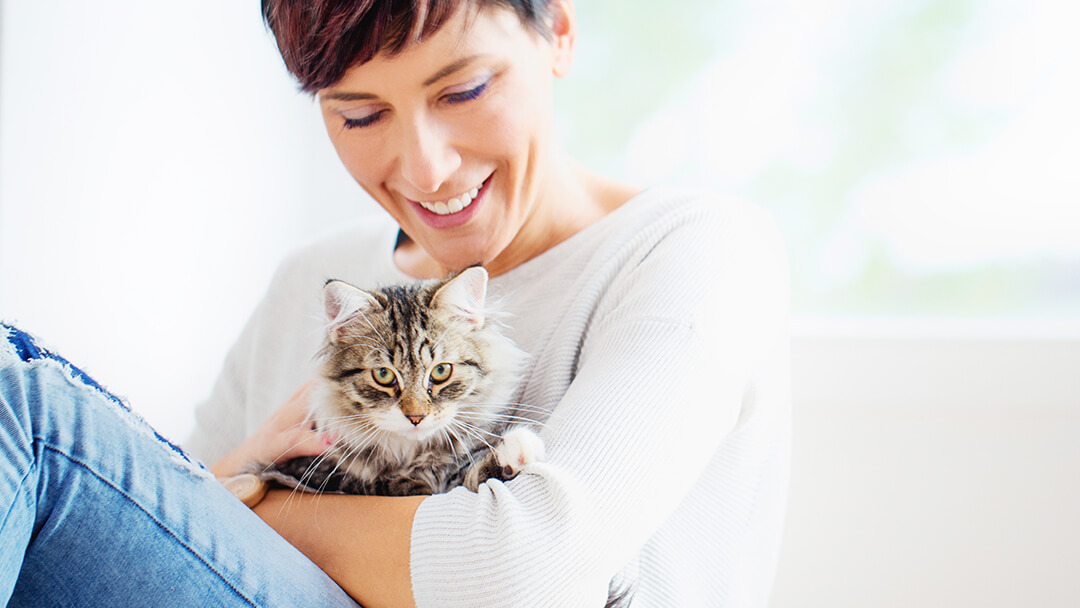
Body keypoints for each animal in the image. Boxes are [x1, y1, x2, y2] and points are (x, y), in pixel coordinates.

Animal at [260, 268, 544, 496]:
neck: (412, 454)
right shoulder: (305, 472)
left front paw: (516, 450)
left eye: (441, 371)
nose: (416, 418)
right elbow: (392, 485)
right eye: (383, 375)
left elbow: (469, 475)